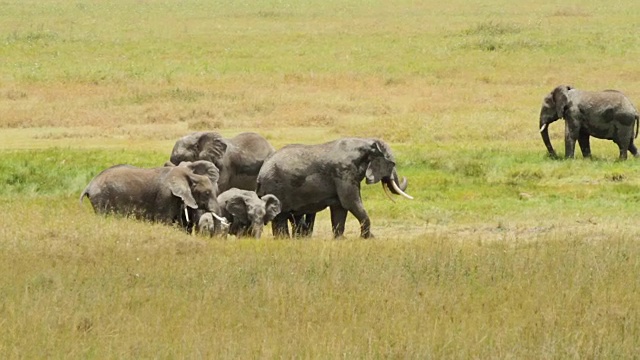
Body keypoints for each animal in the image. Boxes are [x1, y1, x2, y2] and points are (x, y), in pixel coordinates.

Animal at [79, 162, 221, 229]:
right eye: (207, 193)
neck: (189, 175)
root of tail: (89, 185)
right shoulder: (165, 196)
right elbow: (165, 221)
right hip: (101, 198)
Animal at [256, 138, 416, 239]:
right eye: (392, 164)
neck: (366, 142)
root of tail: (260, 174)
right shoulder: (344, 172)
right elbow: (350, 202)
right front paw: (370, 238)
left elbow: (340, 207)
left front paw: (340, 239)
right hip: (275, 188)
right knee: (280, 217)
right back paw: (283, 239)